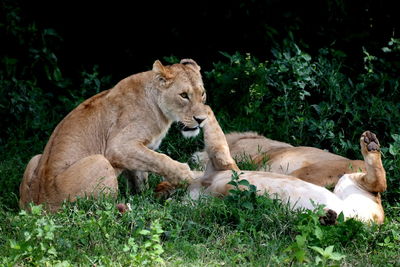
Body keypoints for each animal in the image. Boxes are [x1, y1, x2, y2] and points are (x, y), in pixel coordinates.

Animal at [19, 59, 208, 214]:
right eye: (183, 95)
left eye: (202, 94)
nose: (201, 119)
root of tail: (39, 205)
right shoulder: (119, 146)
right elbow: (161, 160)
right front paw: (186, 176)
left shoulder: (136, 151)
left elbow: (141, 174)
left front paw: (144, 196)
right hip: (100, 161)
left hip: (34, 159)